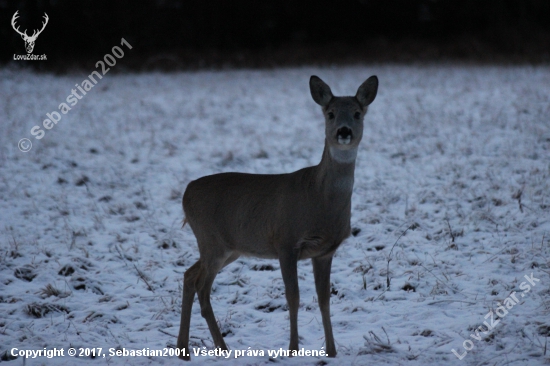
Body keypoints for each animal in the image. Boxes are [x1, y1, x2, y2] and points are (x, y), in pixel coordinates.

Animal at [177, 74, 380, 360]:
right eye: (330, 113)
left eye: (357, 113)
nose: (344, 131)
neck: (318, 197)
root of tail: (186, 193)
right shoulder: (286, 241)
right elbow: (293, 296)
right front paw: (293, 349)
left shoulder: (325, 251)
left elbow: (324, 299)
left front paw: (331, 351)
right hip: (211, 240)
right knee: (202, 289)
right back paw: (223, 349)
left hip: (228, 247)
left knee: (189, 275)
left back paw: (183, 349)